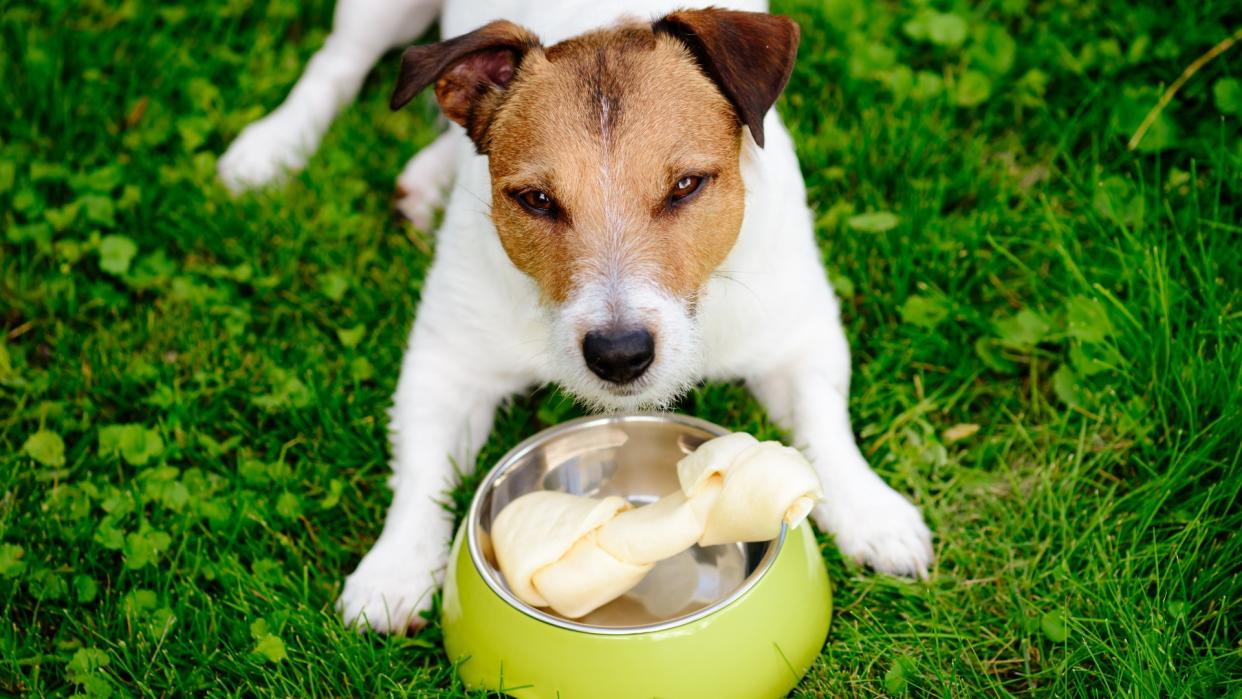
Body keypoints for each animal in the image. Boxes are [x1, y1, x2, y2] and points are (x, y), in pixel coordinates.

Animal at [221, 0, 933, 635]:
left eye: (687, 186)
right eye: (536, 199)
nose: (620, 355)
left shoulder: (797, 336)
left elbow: (824, 425)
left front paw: (873, 514)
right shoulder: (445, 363)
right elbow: (422, 473)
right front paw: (394, 571)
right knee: (338, 61)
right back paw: (271, 147)